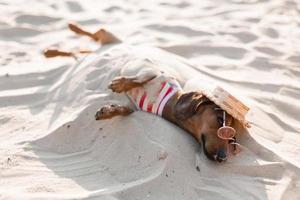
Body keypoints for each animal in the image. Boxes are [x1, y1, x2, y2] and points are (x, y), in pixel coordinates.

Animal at [44, 23, 246, 162]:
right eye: (220, 120)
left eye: (232, 140)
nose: (223, 158)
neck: (167, 102)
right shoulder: (151, 69)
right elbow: (140, 78)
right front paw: (120, 84)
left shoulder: (135, 105)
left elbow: (125, 109)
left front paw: (109, 111)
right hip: (108, 36)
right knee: (94, 32)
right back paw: (68, 31)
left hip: (88, 53)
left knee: (77, 52)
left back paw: (53, 52)